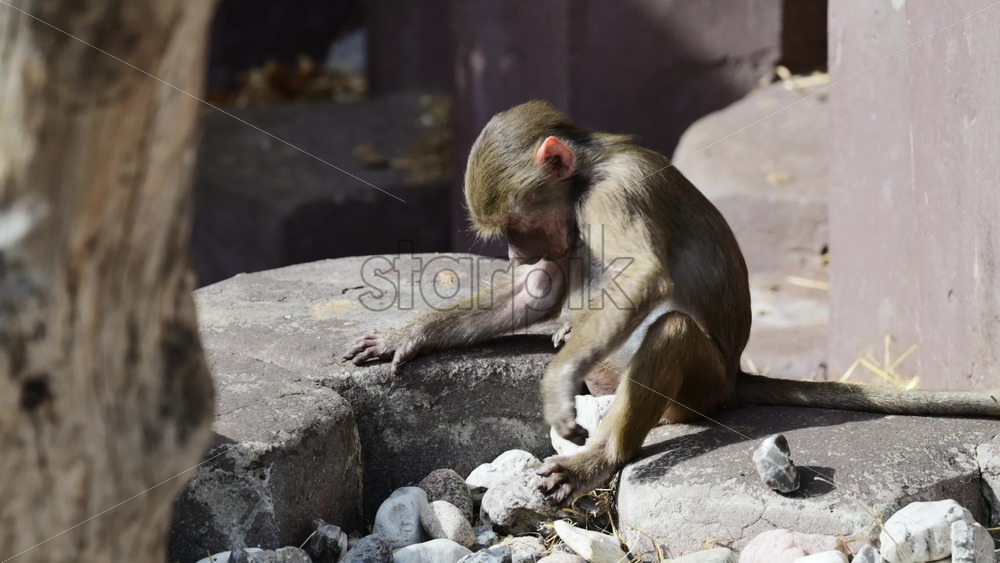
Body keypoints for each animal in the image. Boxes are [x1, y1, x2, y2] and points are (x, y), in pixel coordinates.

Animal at [344, 100, 1000, 506]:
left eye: (513, 225)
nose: (512, 253)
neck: (588, 174)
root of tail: (736, 376)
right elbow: (541, 289)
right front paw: (409, 335)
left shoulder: (617, 193)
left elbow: (644, 275)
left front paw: (556, 384)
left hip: (703, 390)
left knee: (673, 332)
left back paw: (600, 457)